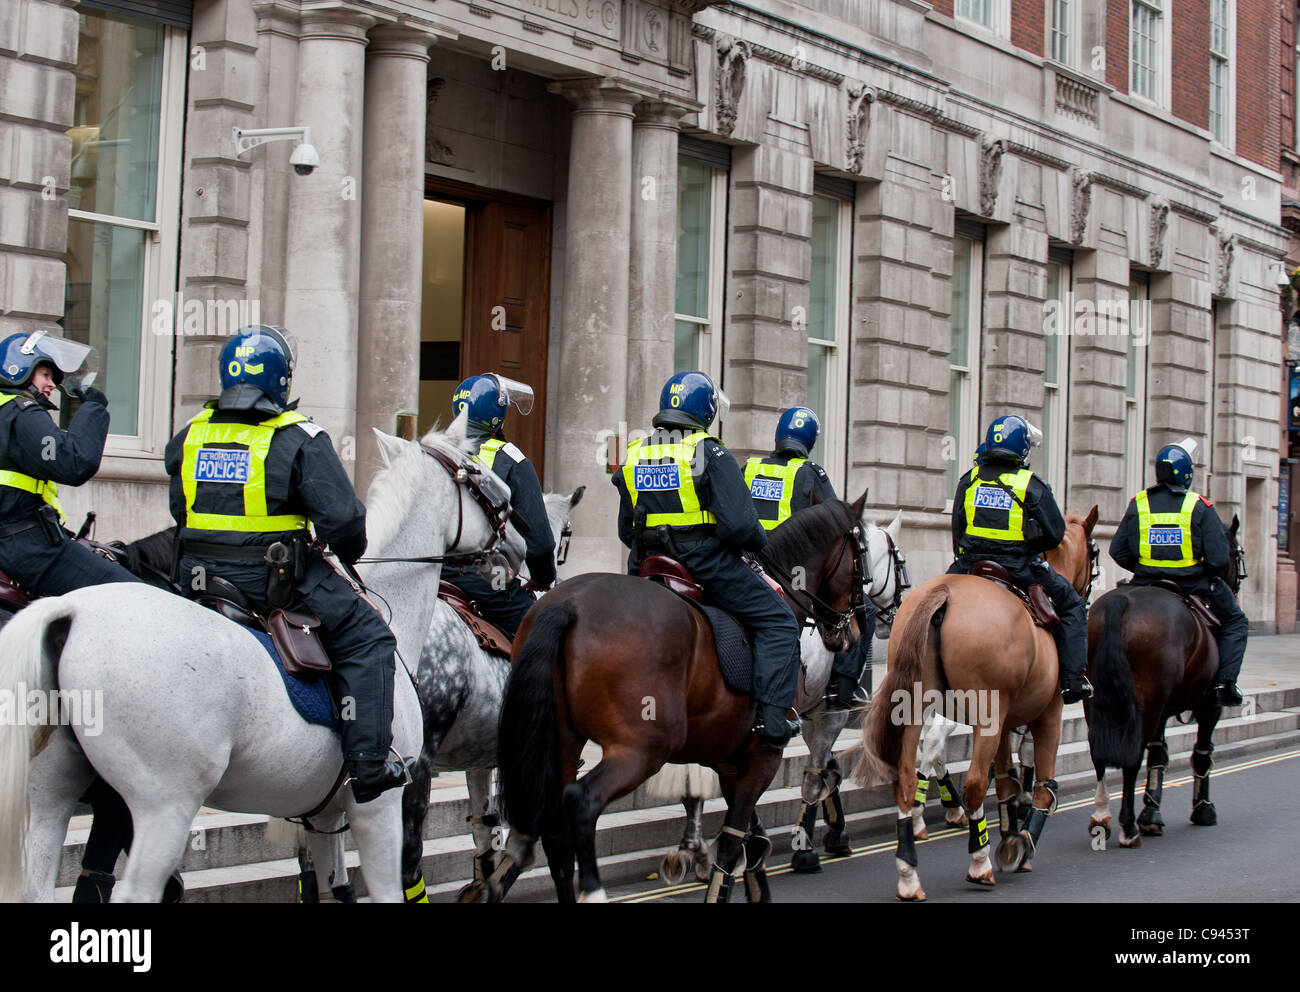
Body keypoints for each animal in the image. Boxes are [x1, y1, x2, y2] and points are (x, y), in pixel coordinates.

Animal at [2, 416, 527, 904]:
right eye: (480, 473)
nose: (522, 549)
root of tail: (71, 611)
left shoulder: (324, 811)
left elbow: (336, 885)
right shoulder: (380, 803)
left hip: (51, 795)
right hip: (164, 805)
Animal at [491, 494, 868, 899]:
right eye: (862, 553)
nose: (853, 633)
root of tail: (568, 605)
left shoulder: (726, 756)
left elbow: (749, 834)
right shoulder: (763, 755)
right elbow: (733, 839)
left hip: (561, 741)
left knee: (554, 826)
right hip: (642, 749)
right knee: (581, 801)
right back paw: (593, 889)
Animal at [655, 512, 909, 884]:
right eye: (899, 563)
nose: (894, 615)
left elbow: (825, 769)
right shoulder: (825, 715)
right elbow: (814, 776)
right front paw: (807, 846)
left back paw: (701, 848)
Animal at [852, 507, 1097, 904]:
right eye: (1094, 554)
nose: (1087, 594)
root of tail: (944, 593)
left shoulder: (1005, 720)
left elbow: (1008, 778)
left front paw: (1011, 836)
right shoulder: (1048, 714)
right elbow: (1041, 784)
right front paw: (1022, 842)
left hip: (917, 706)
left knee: (909, 773)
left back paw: (909, 874)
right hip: (986, 713)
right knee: (974, 781)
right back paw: (978, 860)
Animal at [1081, 514, 1242, 847]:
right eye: (1236, 553)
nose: (1236, 585)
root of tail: (1122, 604)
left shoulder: (1165, 708)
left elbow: (1159, 753)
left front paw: (1151, 812)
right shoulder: (1210, 706)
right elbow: (1201, 753)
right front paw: (1203, 809)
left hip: (1099, 699)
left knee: (1099, 753)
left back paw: (1101, 817)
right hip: (1149, 701)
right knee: (1132, 755)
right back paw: (1128, 827)